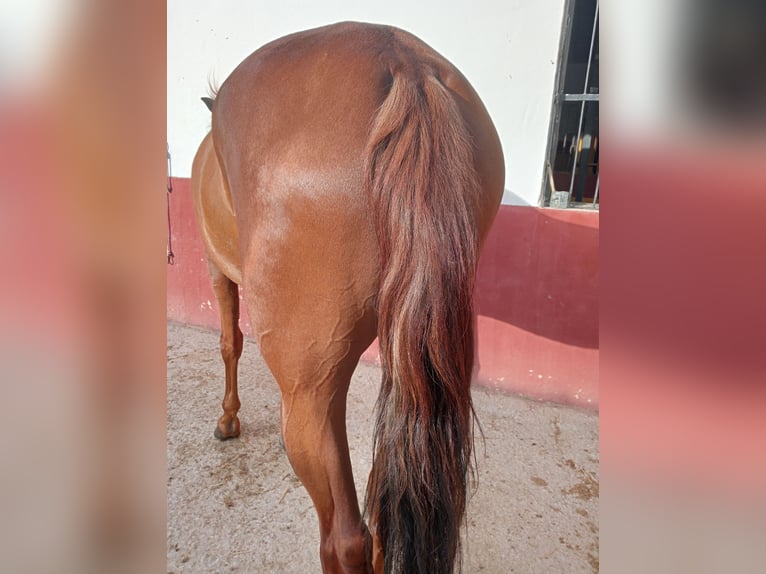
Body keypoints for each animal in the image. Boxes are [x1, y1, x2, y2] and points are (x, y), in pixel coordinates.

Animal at [190, 22, 504, 574]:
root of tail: (404, 63)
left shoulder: (215, 270)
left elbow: (229, 344)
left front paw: (227, 419)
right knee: (383, 515)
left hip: (312, 393)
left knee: (346, 538)